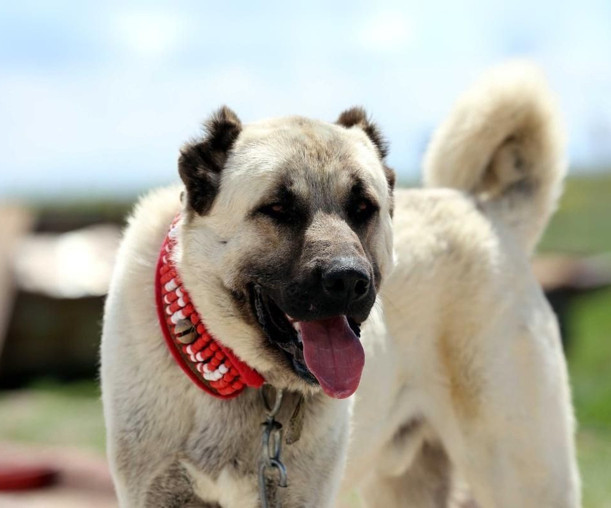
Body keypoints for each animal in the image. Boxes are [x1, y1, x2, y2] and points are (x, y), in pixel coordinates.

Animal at [103, 61, 580, 506]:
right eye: (278, 208)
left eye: (363, 207)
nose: (349, 280)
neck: (248, 379)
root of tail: (488, 212)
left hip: (525, 474)